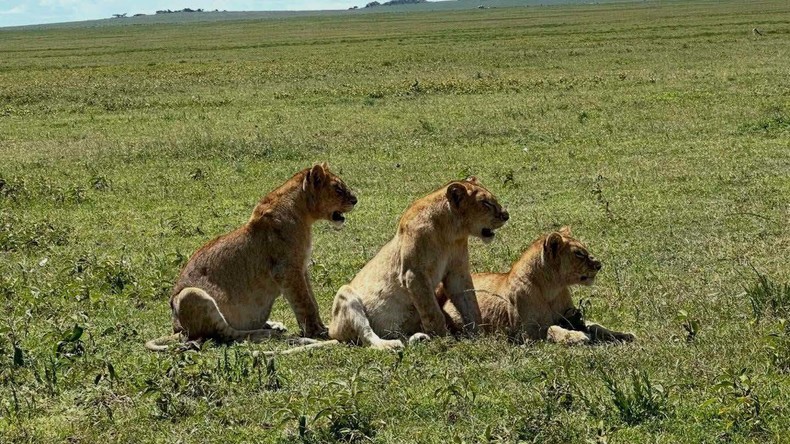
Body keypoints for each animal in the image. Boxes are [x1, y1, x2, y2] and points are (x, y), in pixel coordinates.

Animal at [145, 163, 357, 351]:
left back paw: (273, 325)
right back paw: (270, 333)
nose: (355, 200)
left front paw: (322, 326)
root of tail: (176, 329)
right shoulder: (286, 270)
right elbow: (305, 303)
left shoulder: (301, 268)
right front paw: (318, 332)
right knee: (226, 334)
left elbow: (311, 299)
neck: (303, 213)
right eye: (338, 189)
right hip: (190, 294)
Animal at [327, 177, 510, 350]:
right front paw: (443, 339)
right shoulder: (414, 274)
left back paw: (418, 338)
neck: (451, 232)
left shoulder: (457, 272)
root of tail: (333, 332)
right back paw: (390, 345)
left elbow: (471, 305)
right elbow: (432, 311)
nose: (506, 216)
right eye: (486, 203)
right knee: (367, 336)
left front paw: (479, 336)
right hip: (345, 294)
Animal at [440, 227, 635, 345]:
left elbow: (596, 325)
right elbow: (552, 329)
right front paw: (577, 336)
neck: (552, 287)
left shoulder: (572, 317)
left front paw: (624, 334)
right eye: (579, 254)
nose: (599, 265)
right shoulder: (525, 332)